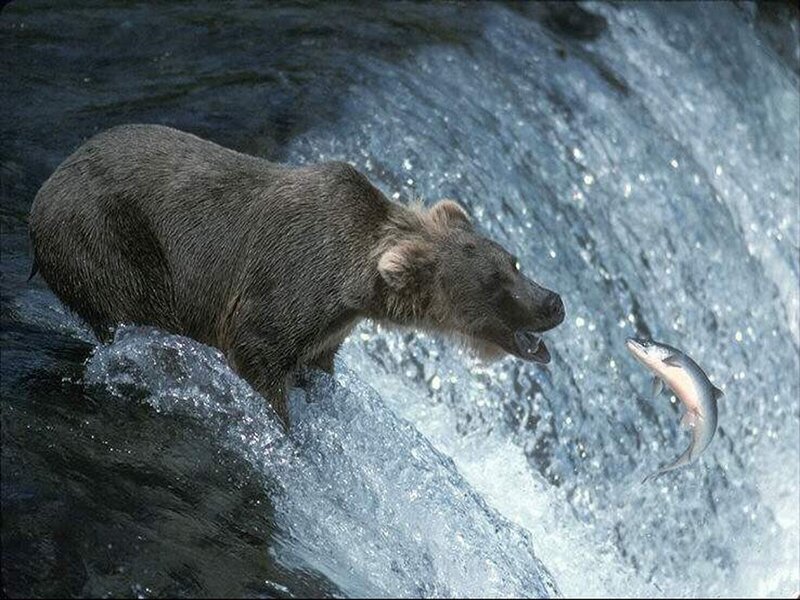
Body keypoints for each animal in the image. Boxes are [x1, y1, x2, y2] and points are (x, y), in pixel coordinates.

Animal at [29, 124, 565, 424]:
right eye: (494, 285)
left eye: (514, 262)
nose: (553, 302)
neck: (355, 286)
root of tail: (45, 188)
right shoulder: (287, 286)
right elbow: (257, 351)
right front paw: (284, 427)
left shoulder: (329, 326)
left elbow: (318, 362)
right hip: (108, 240)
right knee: (138, 310)